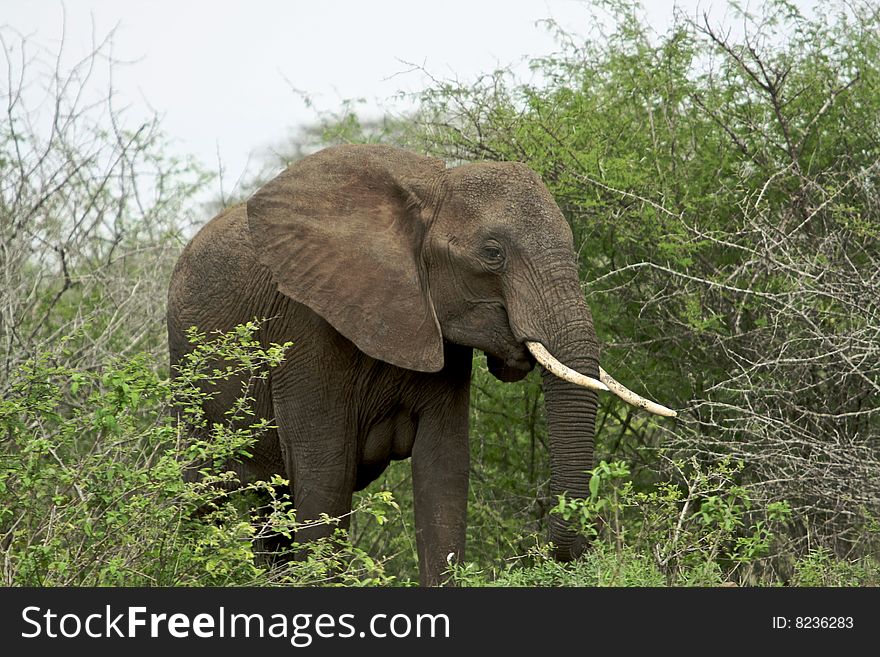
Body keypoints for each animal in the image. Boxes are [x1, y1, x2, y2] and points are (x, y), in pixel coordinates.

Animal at [165, 144, 672, 584]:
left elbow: (443, 473)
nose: (559, 519)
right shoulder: (305, 327)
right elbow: (324, 477)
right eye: (493, 254)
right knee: (203, 490)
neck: (430, 193)